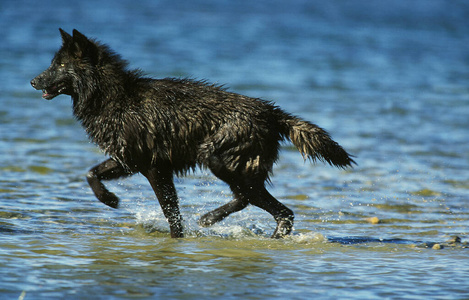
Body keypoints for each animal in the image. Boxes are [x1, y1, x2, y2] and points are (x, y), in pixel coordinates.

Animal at [30, 29, 354, 238]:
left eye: (60, 65)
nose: (32, 81)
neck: (115, 98)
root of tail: (272, 112)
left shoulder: (154, 169)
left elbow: (171, 214)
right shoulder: (129, 162)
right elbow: (90, 173)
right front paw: (109, 200)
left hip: (218, 160)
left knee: (272, 207)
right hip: (231, 167)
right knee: (254, 201)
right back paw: (218, 221)